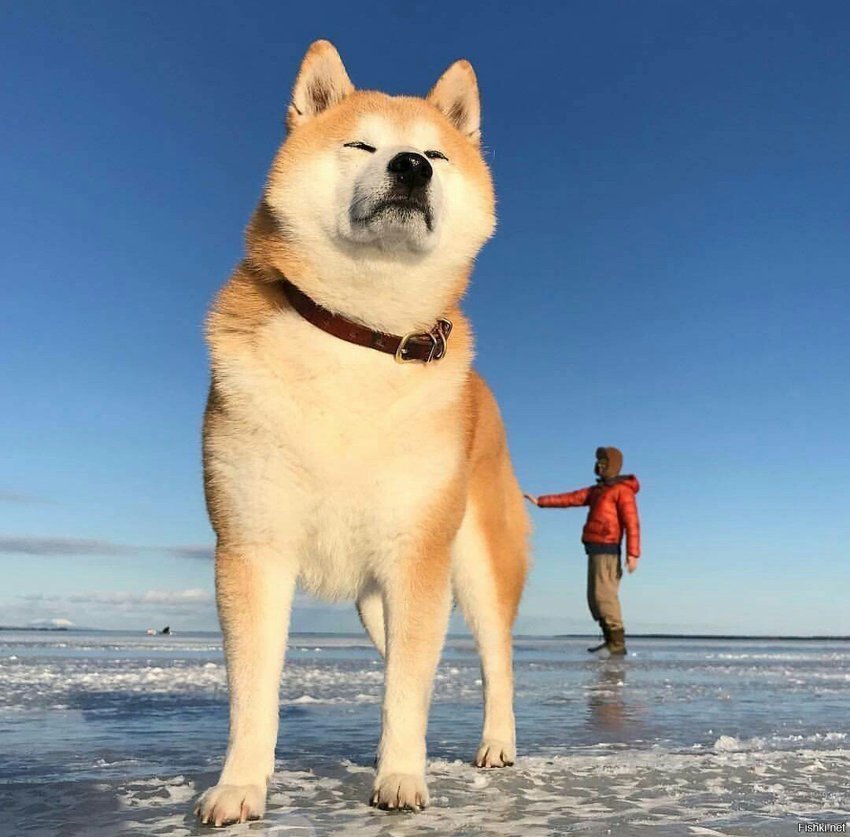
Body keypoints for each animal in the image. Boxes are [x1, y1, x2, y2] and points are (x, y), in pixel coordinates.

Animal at [197, 37, 528, 824]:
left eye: (435, 155)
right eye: (361, 144)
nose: (409, 166)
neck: (359, 334)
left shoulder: (417, 555)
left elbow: (408, 690)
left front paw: (401, 778)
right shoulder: (252, 547)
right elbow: (254, 693)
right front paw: (240, 786)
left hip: (473, 561)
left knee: (495, 659)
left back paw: (496, 745)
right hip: (377, 601)